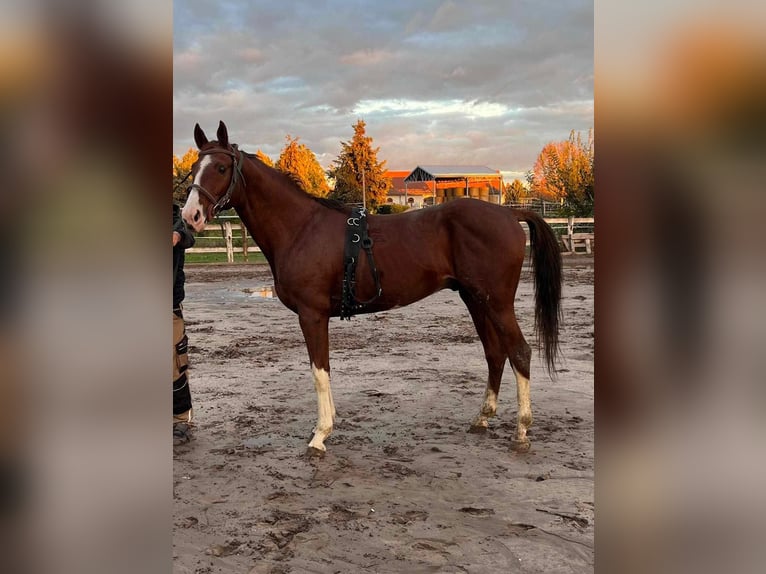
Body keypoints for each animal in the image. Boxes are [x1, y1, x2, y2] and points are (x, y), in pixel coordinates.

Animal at [182, 121, 564, 454]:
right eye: (194, 167)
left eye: (220, 167)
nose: (191, 216)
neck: (301, 228)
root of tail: (509, 215)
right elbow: (323, 370)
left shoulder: (312, 314)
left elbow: (319, 371)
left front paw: (320, 435)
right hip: (475, 299)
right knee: (495, 353)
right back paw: (482, 418)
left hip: (496, 302)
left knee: (519, 352)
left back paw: (522, 430)